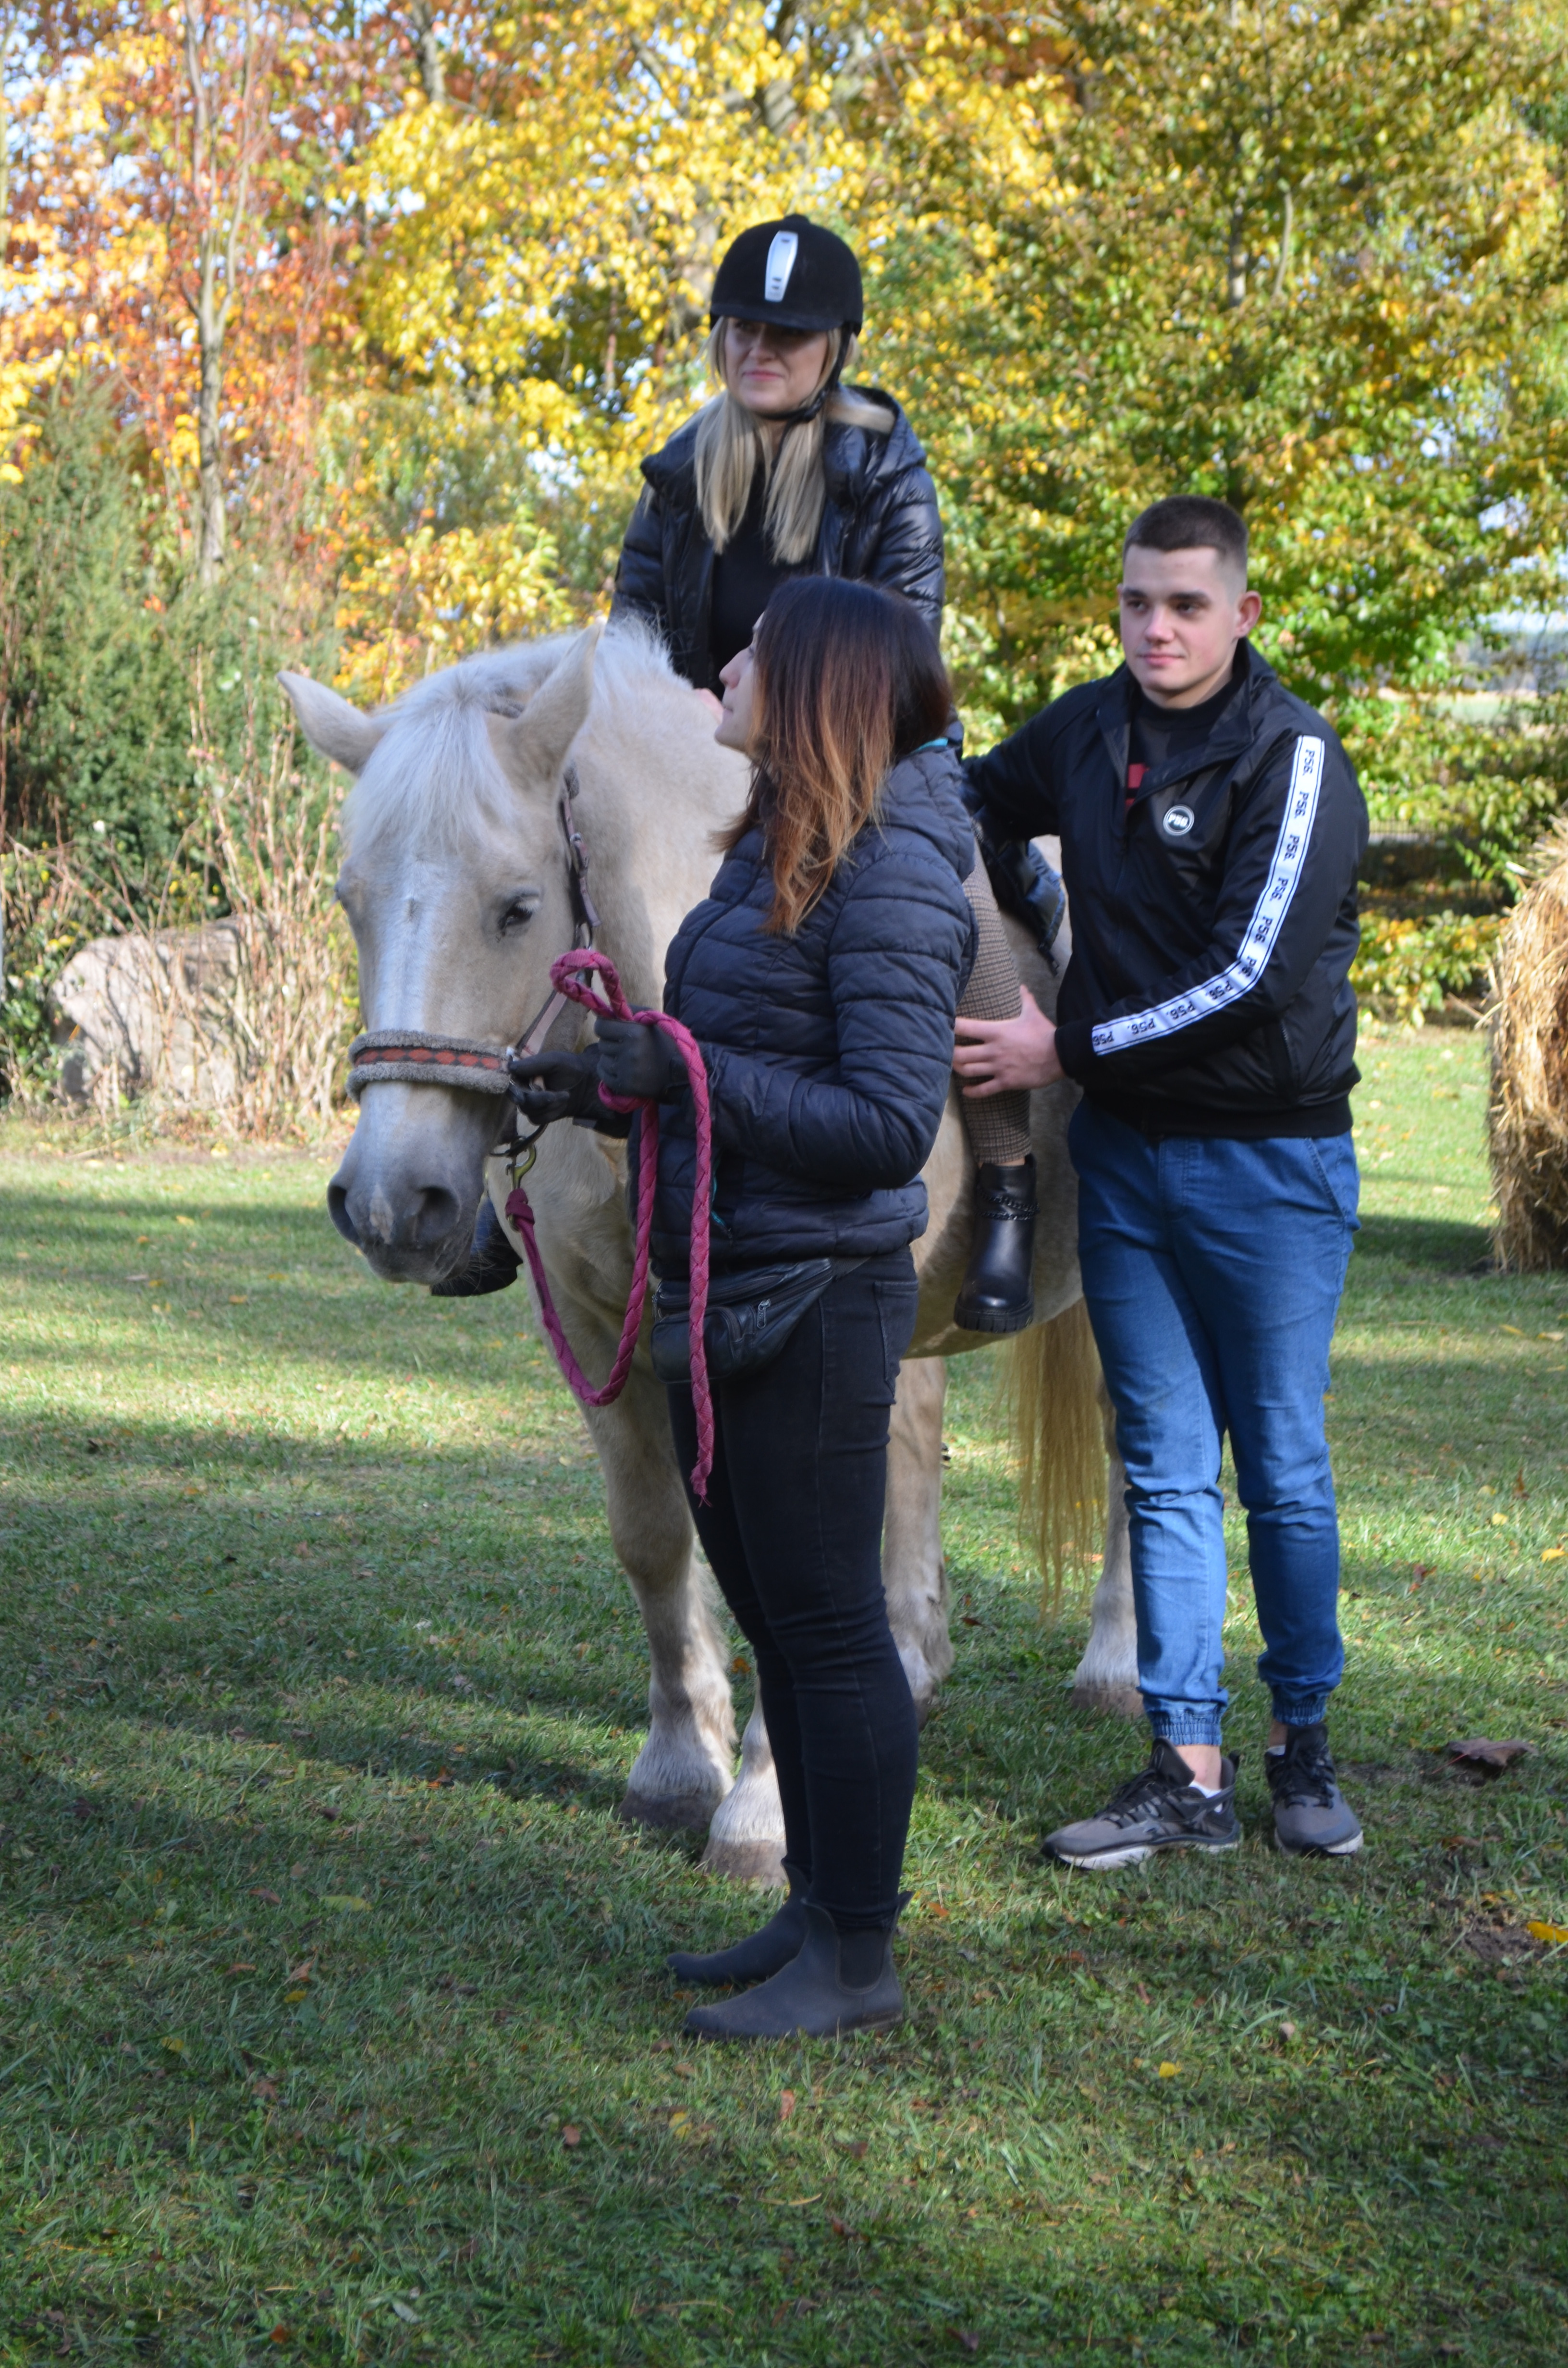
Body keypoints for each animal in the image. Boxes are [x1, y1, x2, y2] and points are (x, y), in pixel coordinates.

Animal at [280, 620, 1141, 1881]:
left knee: (1144, 1463)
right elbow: (654, 1541)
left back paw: (1118, 1666)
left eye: (518, 907)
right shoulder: (613, 1334)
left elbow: (803, 1568)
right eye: (354, 902)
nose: (394, 1204)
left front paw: (765, 1813)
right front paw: (680, 1769)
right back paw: (918, 1666)